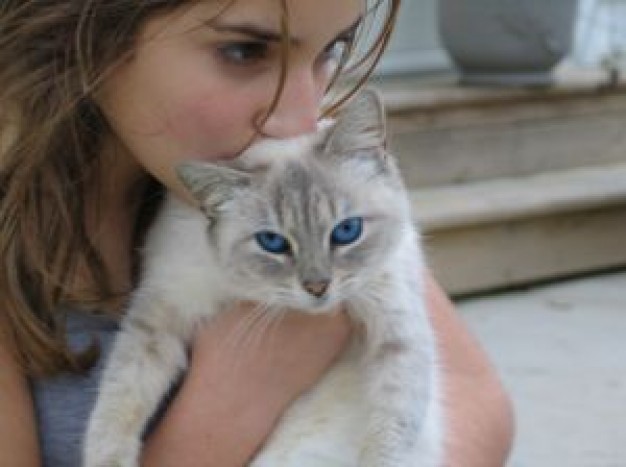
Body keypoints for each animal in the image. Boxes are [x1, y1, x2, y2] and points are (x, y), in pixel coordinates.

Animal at [84, 90, 444, 467]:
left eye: (347, 231)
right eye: (272, 242)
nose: (317, 287)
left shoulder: (396, 328)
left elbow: (392, 432)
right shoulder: (160, 313)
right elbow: (119, 396)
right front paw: (107, 459)